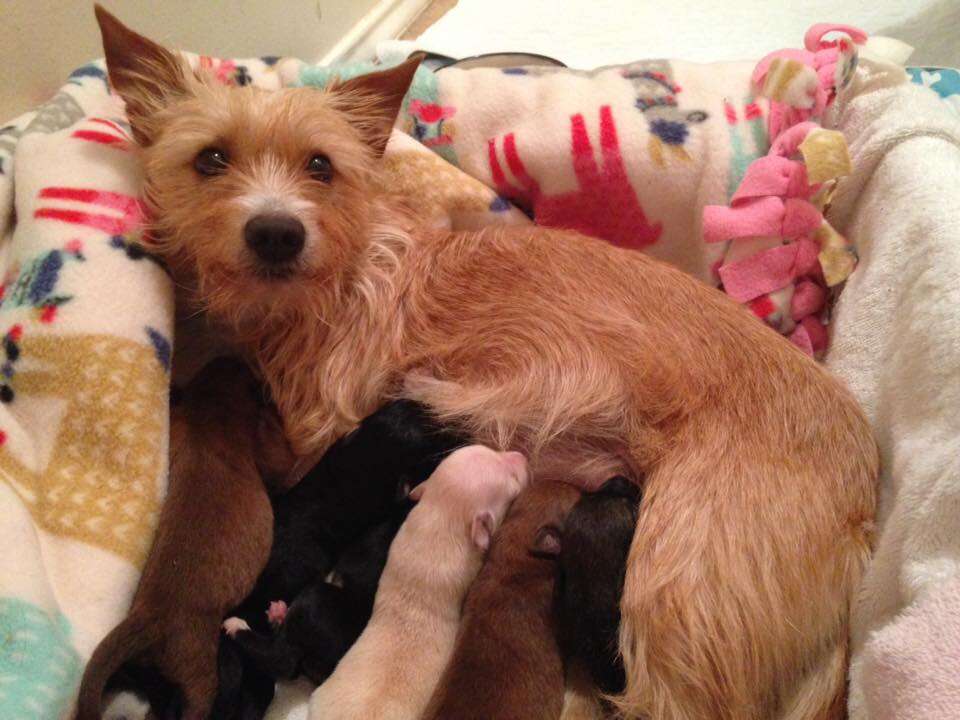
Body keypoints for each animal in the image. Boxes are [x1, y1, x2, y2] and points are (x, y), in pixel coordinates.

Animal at [74, 358, 292, 720]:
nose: (243, 358)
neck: (210, 408)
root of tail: (148, 616)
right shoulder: (265, 453)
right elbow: (279, 455)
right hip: (198, 670)